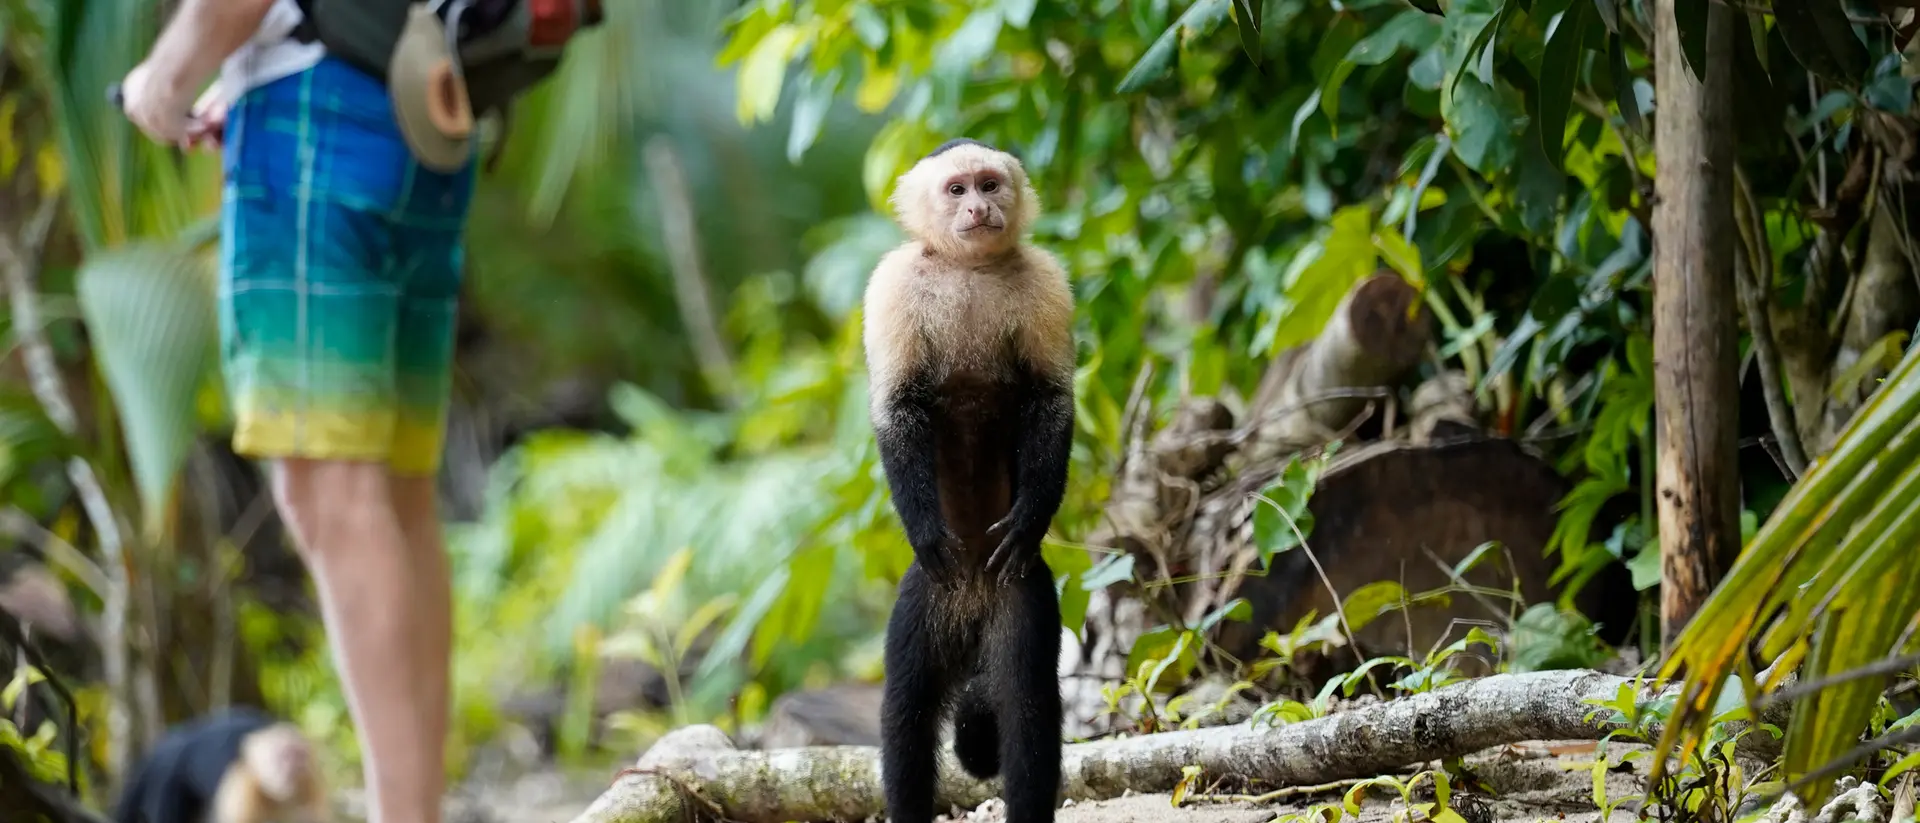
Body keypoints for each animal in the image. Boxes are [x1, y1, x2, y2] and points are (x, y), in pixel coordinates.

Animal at [112, 707, 329, 823]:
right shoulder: (244, 793)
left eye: (299, 756)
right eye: (283, 757)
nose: (293, 769)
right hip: (167, 776)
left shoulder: (310, 787)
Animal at [862, 137, 1076, 823]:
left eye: (989, 183)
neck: (969, 270)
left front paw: (1030, 520)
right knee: (907, 708)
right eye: (957, 190)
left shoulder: (1047, 280)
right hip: (925, 600)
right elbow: (896, 407)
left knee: (1027, 706)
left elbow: (1051, 402)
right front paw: (927, 530)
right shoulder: (893, 284)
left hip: (1022, 597)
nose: (980, 208)